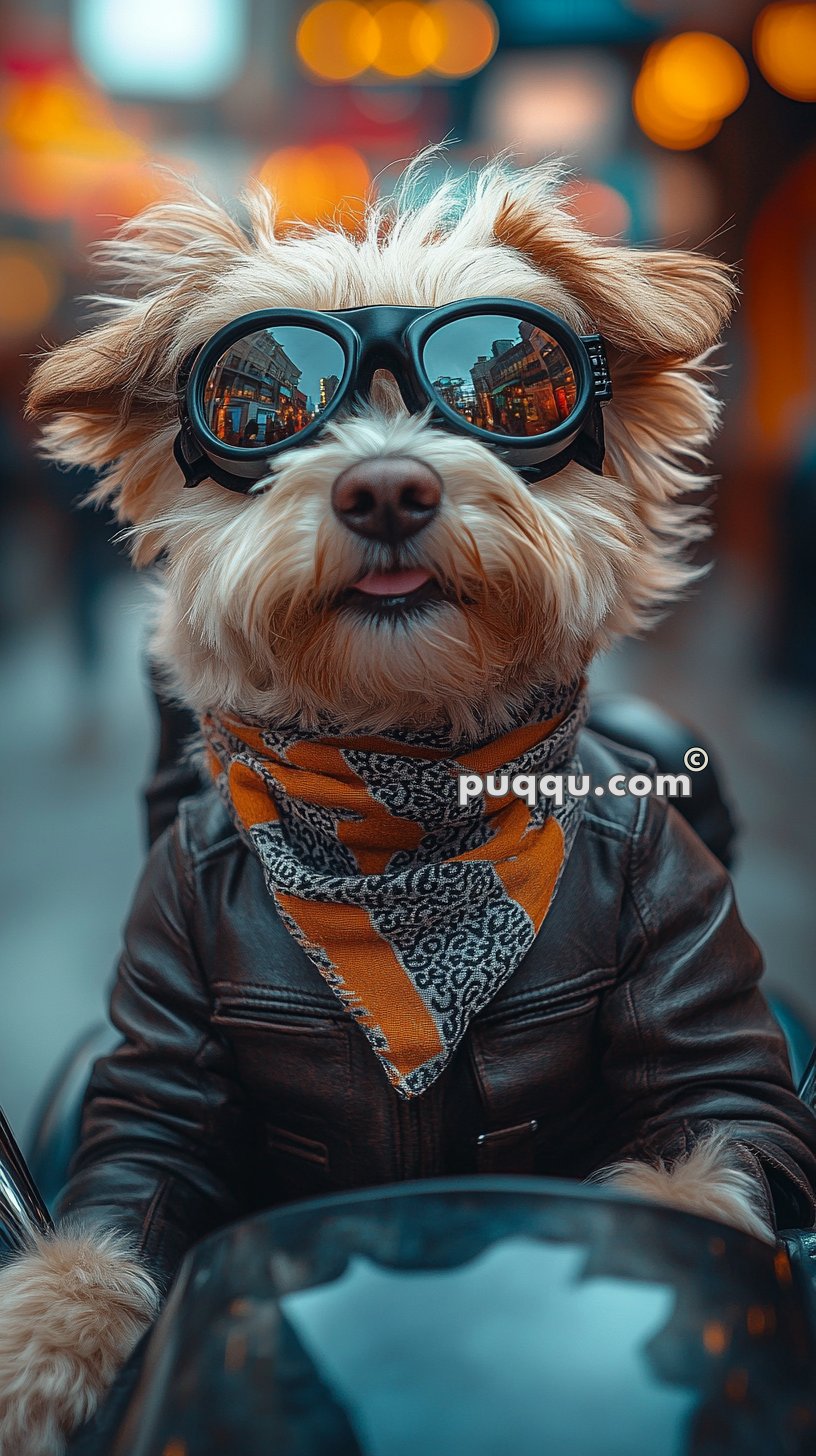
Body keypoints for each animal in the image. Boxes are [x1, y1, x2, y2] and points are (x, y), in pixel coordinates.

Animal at [6, 153, 816, 1450]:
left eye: (501, 388)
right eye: (263, 401)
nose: (387, 486)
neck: (398, 814)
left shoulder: (678, 909)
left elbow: (714, 1132)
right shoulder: (162, 997)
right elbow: (135, 1170)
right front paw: (38, 1340)